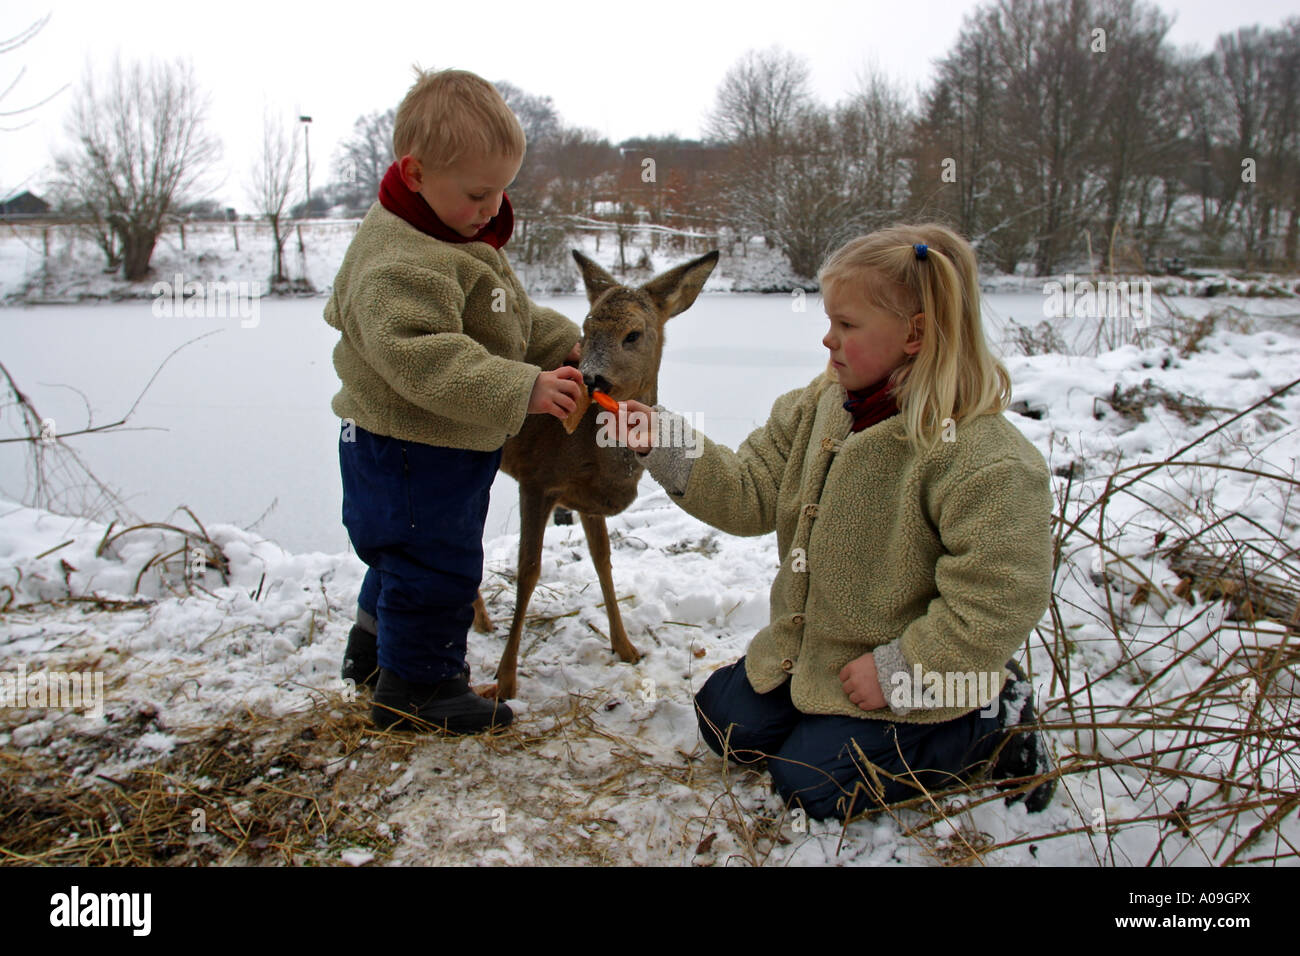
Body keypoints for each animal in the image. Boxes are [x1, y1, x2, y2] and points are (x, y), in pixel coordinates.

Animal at [478, 247, 722, 697]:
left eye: (633, 334)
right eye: (586, 327)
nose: (590, 379)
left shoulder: (587, 499)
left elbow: (604, 561)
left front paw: (626, 647)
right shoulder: (536, 478)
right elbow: (528, 569)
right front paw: (504, 680)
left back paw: (481, 621)